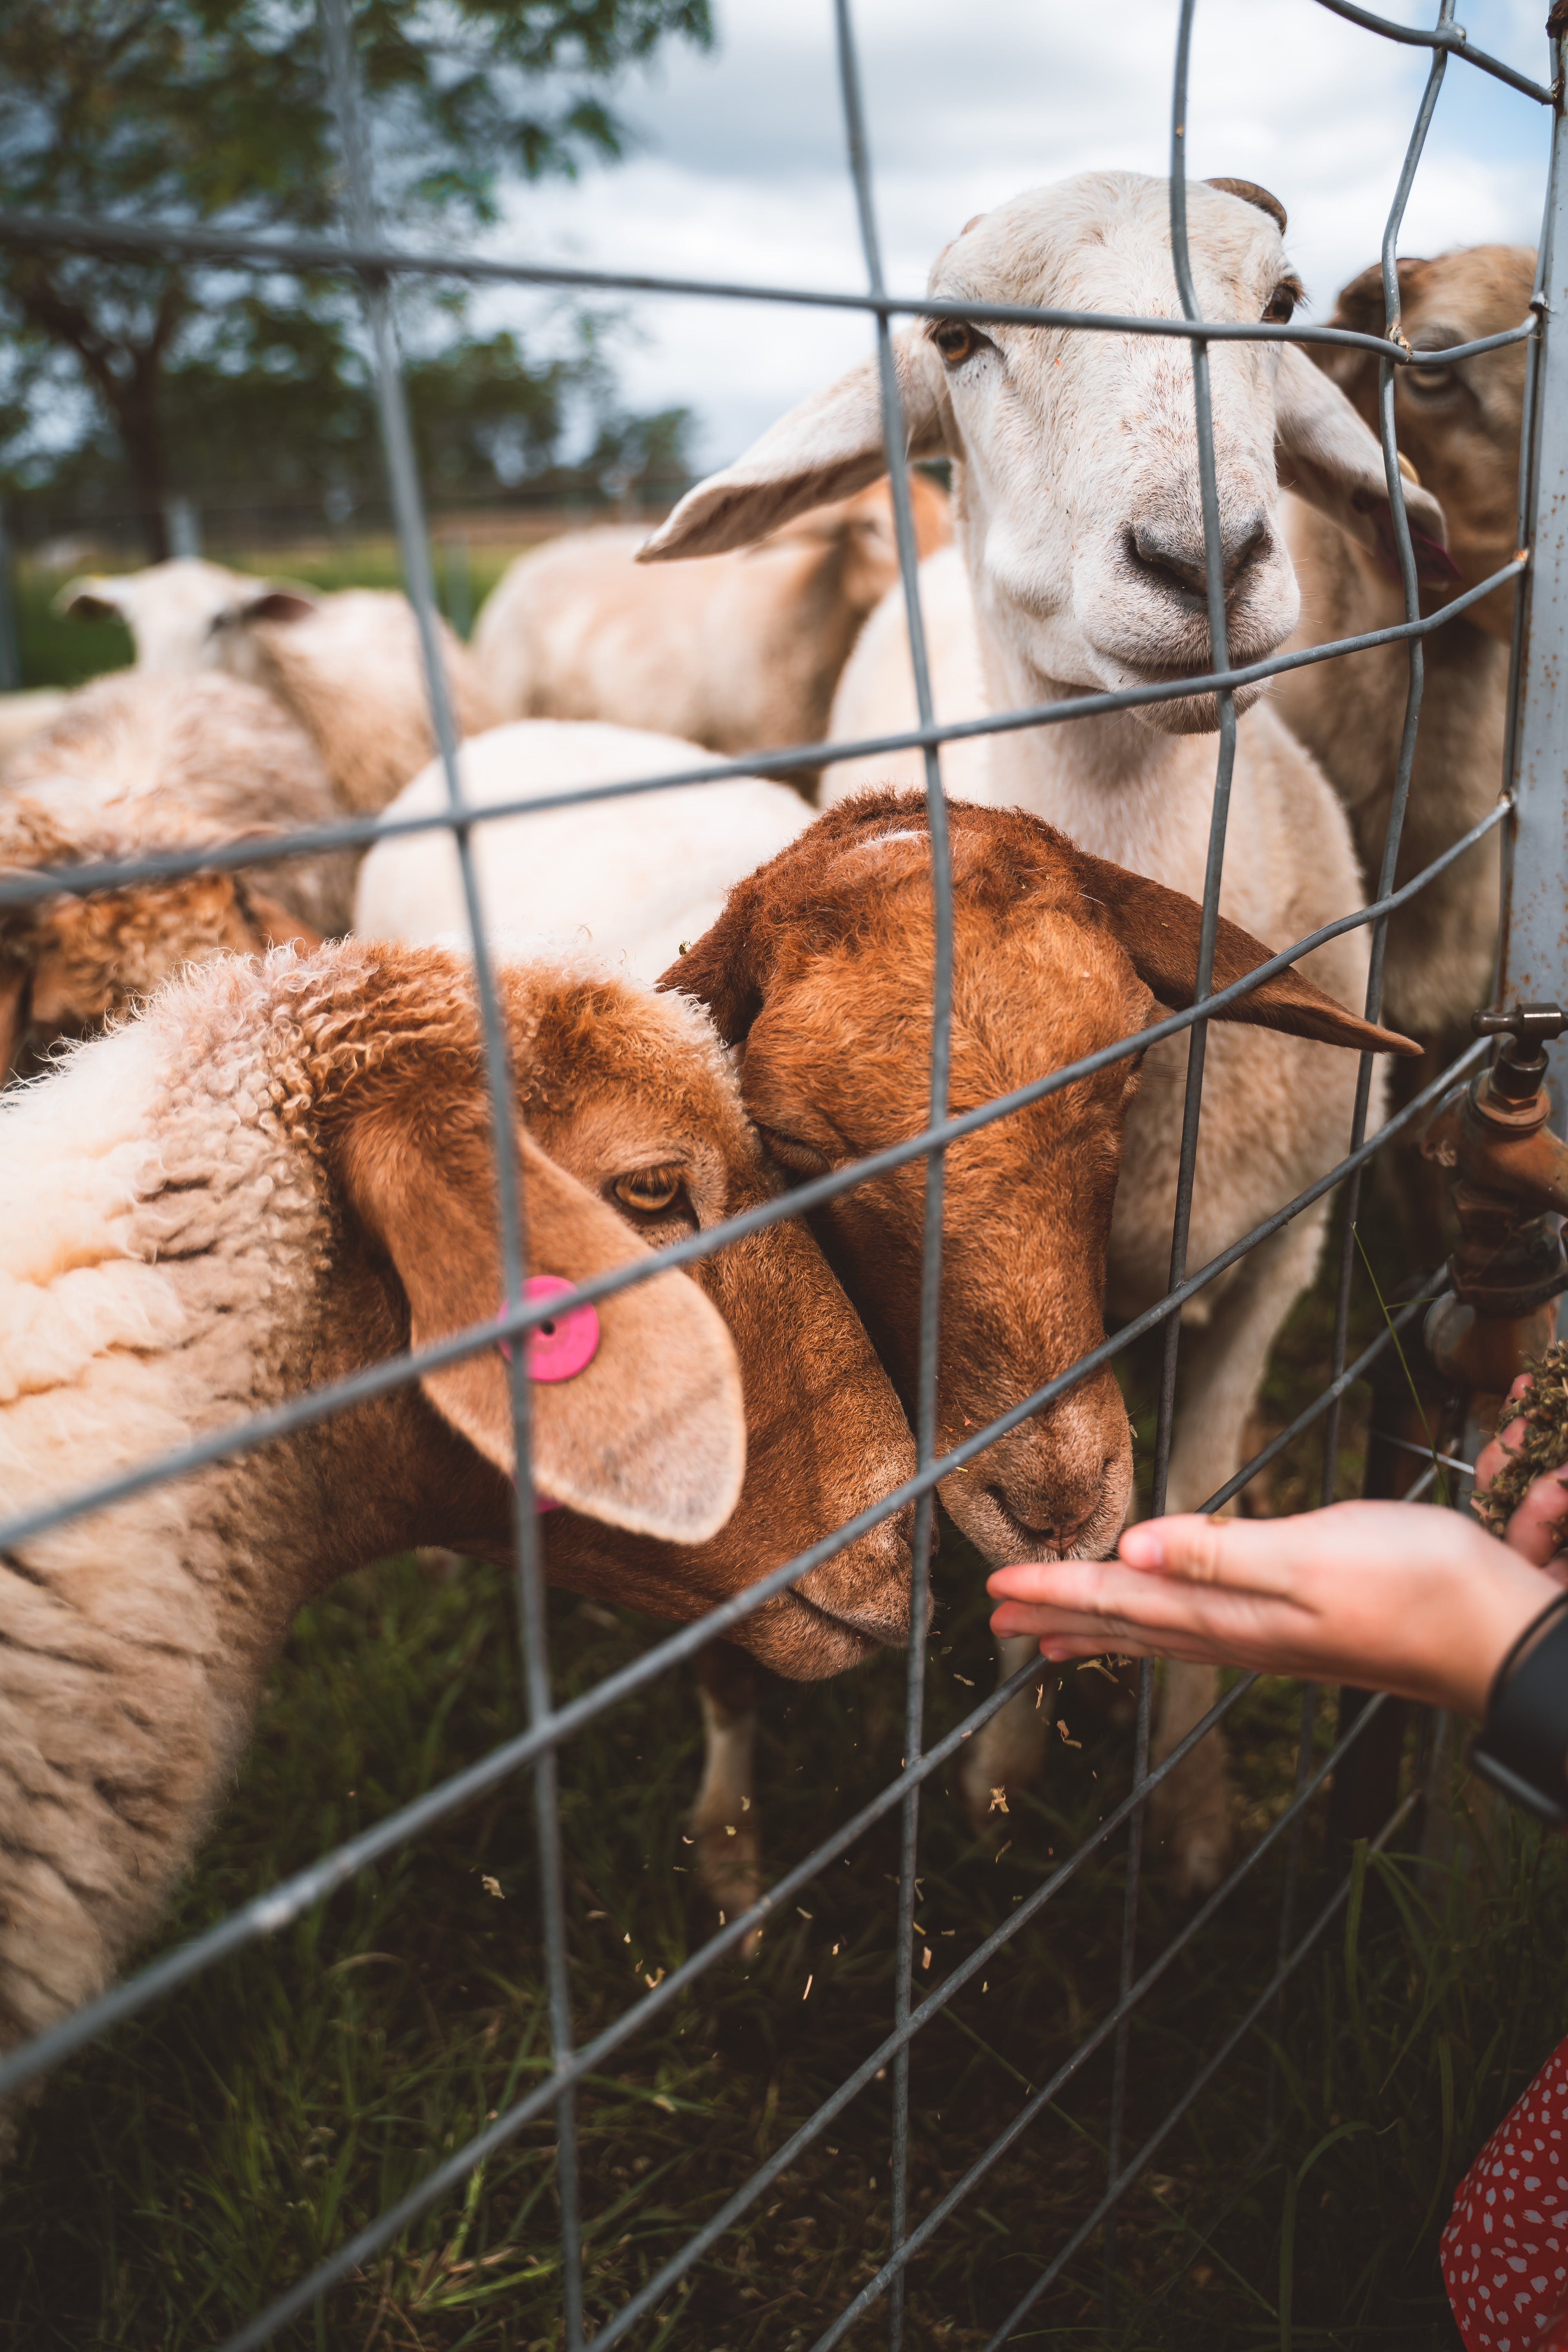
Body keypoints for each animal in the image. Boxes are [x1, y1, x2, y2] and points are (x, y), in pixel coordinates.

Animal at [641, 169, 1443, 1888]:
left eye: (1280, 307)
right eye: (956, 340)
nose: (1201, 560)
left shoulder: (1273, 1256)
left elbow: (1193, 1491)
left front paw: (1189, 1810)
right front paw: (1005, 1778)